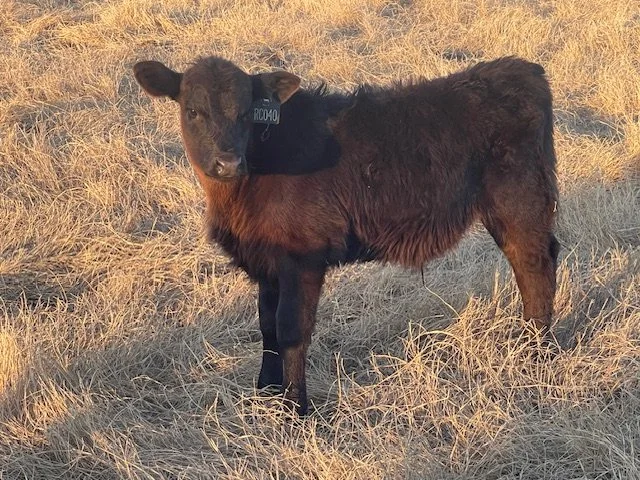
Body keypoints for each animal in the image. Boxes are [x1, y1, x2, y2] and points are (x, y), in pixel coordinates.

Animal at [133, 55, 559, 415]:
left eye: (247, 113)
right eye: (193, 111)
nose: (228, 162)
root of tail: (523, 69)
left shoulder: (302, 256)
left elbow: (291, 328)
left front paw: (294, 409)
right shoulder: (266, 259)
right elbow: (267, 324)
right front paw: (265, 390)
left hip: (519, 201)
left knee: (535, 266)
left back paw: (537, 352)